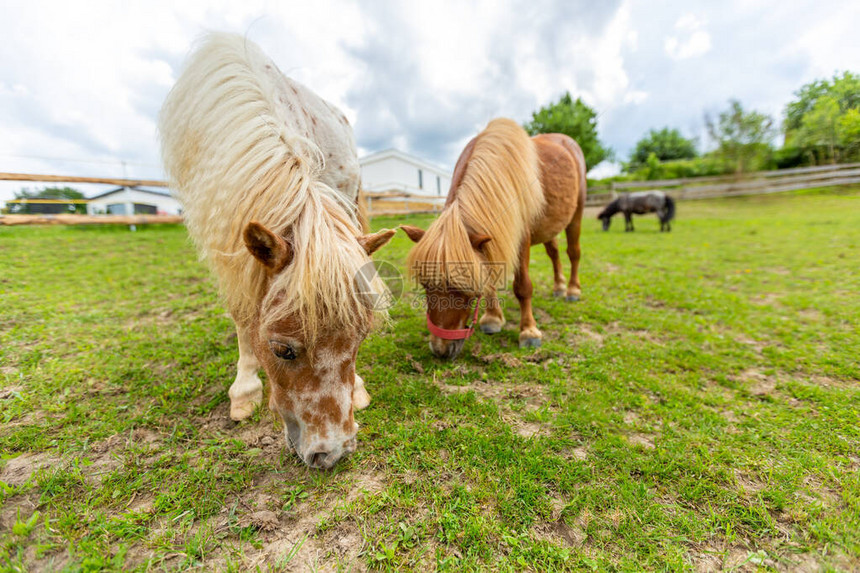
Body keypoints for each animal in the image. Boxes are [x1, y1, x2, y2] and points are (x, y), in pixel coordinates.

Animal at [158, 33, 394, 466]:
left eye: (362, 339)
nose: (333, 452)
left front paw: (357, 386)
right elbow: (242, 312)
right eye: (283, 350)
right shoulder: (220, 235)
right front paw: (245, 391)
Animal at [402, 119, 584, 360]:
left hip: (576, 214)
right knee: (554, 253)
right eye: (425, 284)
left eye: (465, 289)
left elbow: (522, 287)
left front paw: (529, 331)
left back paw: (572, 290)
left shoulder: (520, 239)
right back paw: (559, 286)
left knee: (573, 252)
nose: (440, 350)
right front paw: (493, 318)